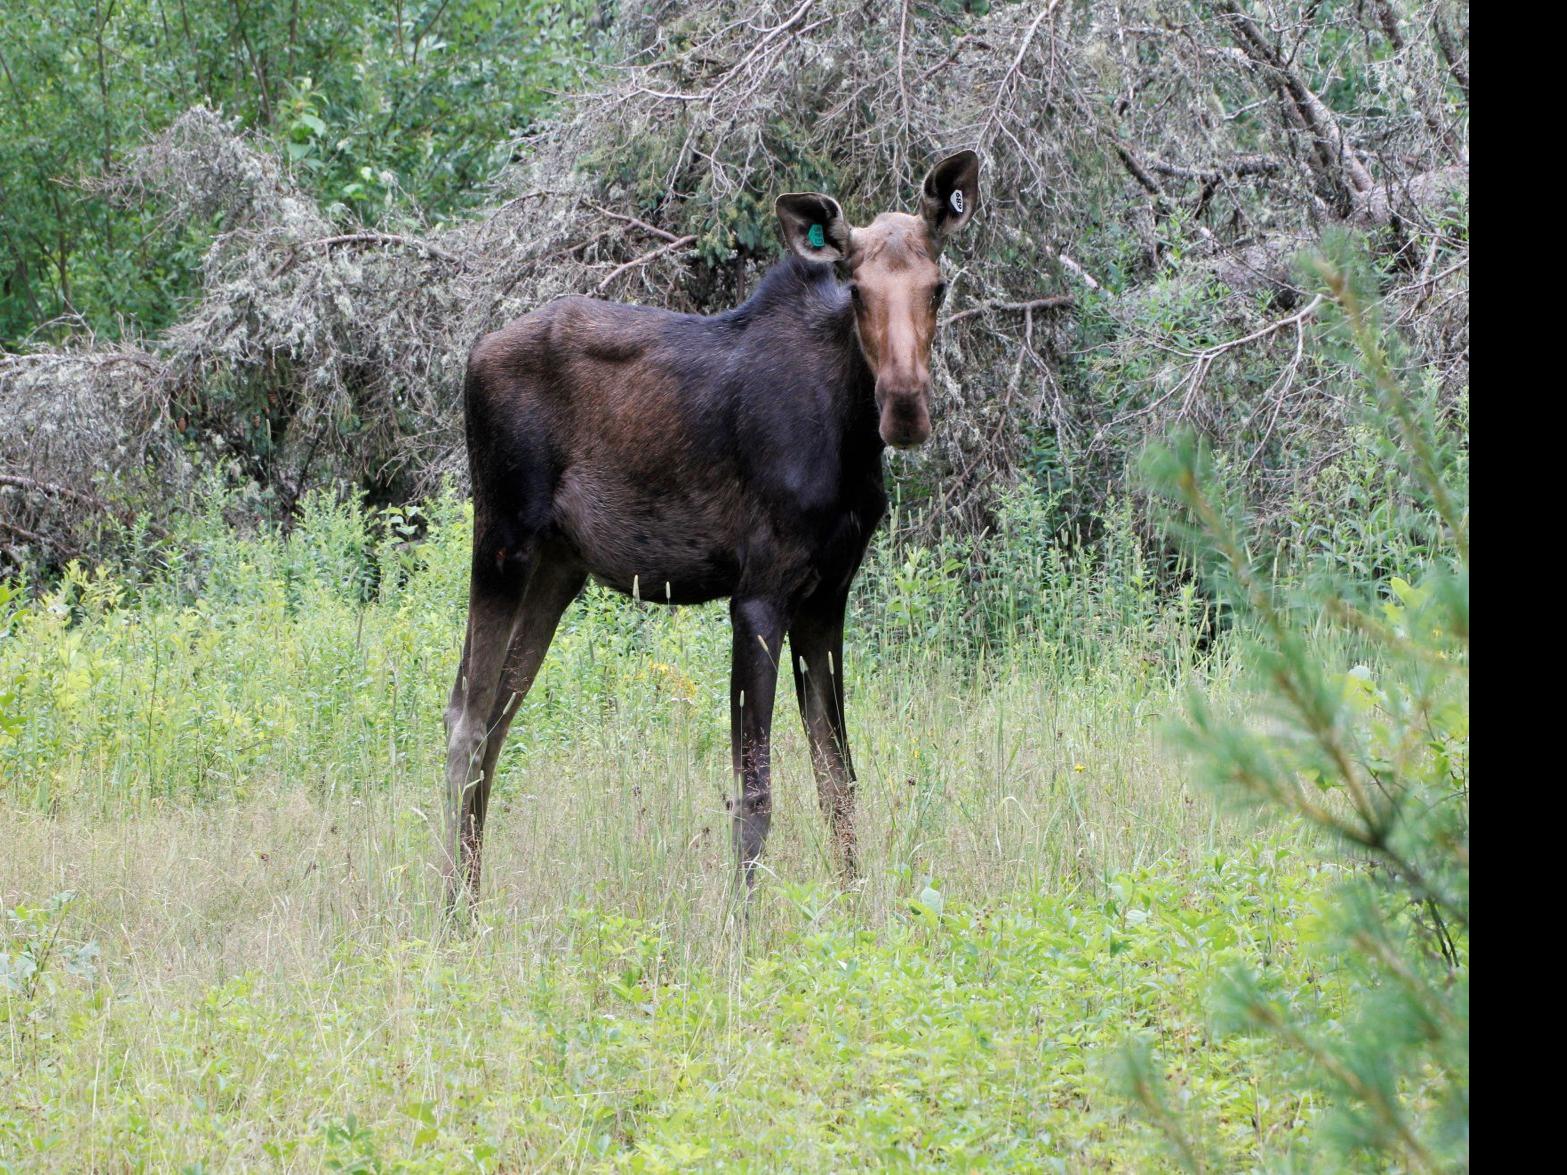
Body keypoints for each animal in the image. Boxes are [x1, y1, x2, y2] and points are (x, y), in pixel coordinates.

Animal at [441, 151, 977, 908]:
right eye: (856, 288)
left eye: (937, 286)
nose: (904, 406)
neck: (848, 435)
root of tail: (474, 354)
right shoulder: (757, 594)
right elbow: (755, 793)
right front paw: (741, 925)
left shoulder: (827, 598)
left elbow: (838, 778)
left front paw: (855, 911)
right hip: (501, 540)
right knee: (465, 717)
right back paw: (451, 913)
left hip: (557, 568)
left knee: (495, 720)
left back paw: (472, 901)